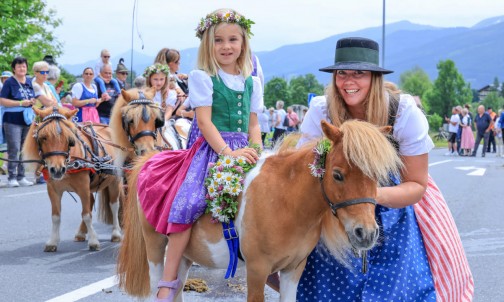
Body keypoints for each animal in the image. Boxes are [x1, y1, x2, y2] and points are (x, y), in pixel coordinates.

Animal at [22, 107, 123, 252]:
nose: (57, 170)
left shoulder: (83, 187)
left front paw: (93, 241)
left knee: (114, 205)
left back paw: (115, 233)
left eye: (69, 139)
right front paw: (53, 241)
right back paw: (81, 232)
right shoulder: (53, 190)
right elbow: (56, 216)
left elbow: (86, 214)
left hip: (114, 180)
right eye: (43, 137)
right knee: (92, 201)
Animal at [115, 119, 402, 300]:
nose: (366, 234)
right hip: (155, 248)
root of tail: (149, 159)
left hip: (185, 256)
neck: (285, 201)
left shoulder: (292, 270)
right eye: (338, 175)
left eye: (378, 177)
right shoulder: (257, 271)